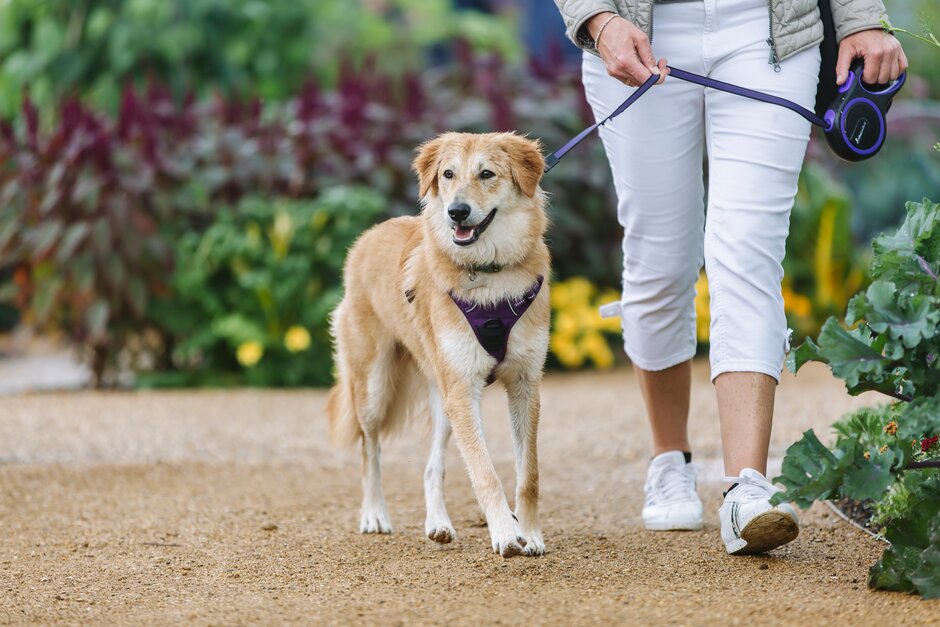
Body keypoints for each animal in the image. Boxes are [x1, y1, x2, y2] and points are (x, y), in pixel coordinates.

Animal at [328, 132, 552, 560]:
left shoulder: (525, 385)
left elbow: (529, 473)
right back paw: (374, 514)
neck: (487, 272)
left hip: (443, 397)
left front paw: (530, 533)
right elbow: (484, 471)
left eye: (487, 173)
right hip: (375, 388)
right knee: (369, 450)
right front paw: (505, 533)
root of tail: (368, 236)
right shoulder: (464, 389)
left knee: (432, 466)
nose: (457, 212)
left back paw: (438, 524)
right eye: (448, 174)